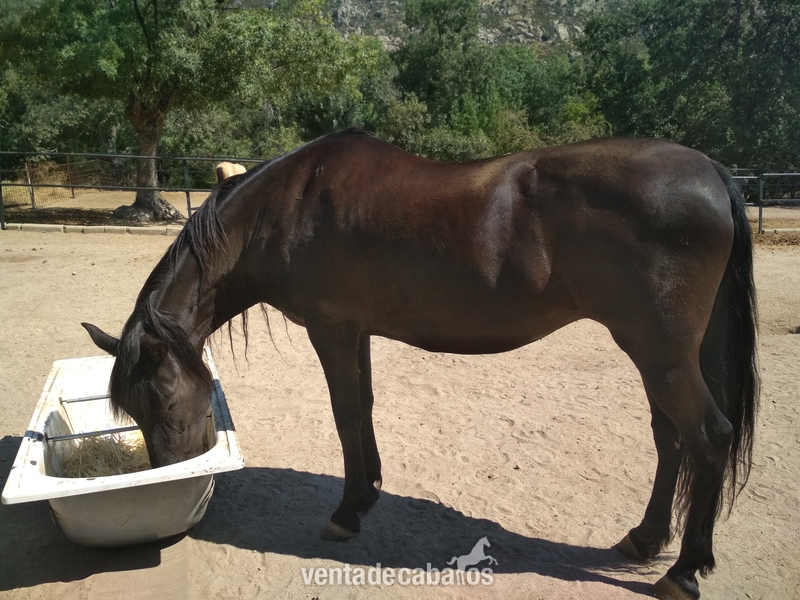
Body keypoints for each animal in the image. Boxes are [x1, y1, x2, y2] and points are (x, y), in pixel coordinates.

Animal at [82, 129, 758, 600]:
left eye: (160, 398)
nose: (166, 478)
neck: (287, 204)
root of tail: (711, 172)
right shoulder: (355, 332)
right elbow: (364, 409)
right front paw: (368, 493)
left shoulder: (332, 330)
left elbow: (347, 415)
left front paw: (346, 513)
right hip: (655, 355)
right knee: (671, 440)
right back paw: (644, 540)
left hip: (661, 353)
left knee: (708, 437)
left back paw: (683, 571)